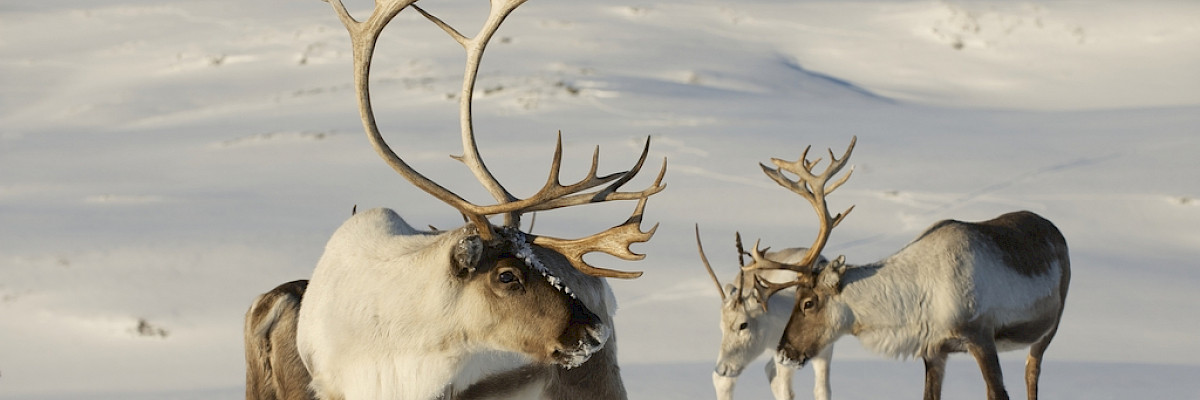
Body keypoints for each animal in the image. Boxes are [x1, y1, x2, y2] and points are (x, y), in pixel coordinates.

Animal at [694, 226, 833, 400]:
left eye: (743, 324)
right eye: (721, 327)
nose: (723, 368)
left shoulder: (825, 351)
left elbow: (822, 391)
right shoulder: (783, 355)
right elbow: (786, 392)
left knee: (767, 371)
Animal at [744, 136, 1071, 400]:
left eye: (808, 303)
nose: (785, 352)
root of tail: (1055, 230)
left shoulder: (981, 336)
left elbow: (998, 393)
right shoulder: (934, 350)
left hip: (1049, 329)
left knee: (1031, 375)